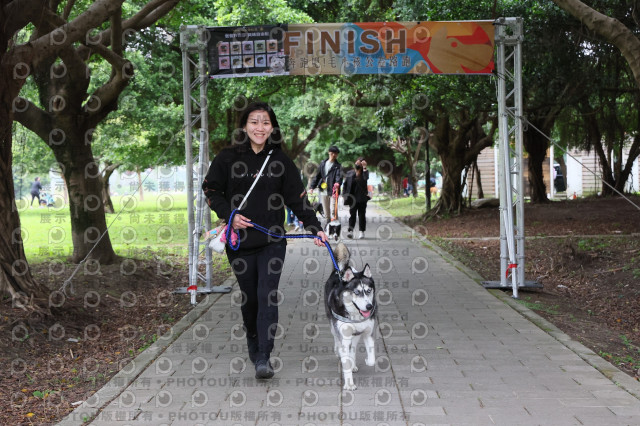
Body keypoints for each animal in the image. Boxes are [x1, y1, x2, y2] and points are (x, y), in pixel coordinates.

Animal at [324, 242, 376, 390]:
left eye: (368, 291)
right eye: (356, 292)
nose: (369, 306)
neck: (355, 315)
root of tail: (339, 271)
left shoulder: (367, 333)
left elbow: (372, 359)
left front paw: (366, 360)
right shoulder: (344, 336)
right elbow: (345, 360)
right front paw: (349, 383)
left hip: (355, 335)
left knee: (352, 348)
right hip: (333, 326)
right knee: (336, 339)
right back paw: (338, 352)